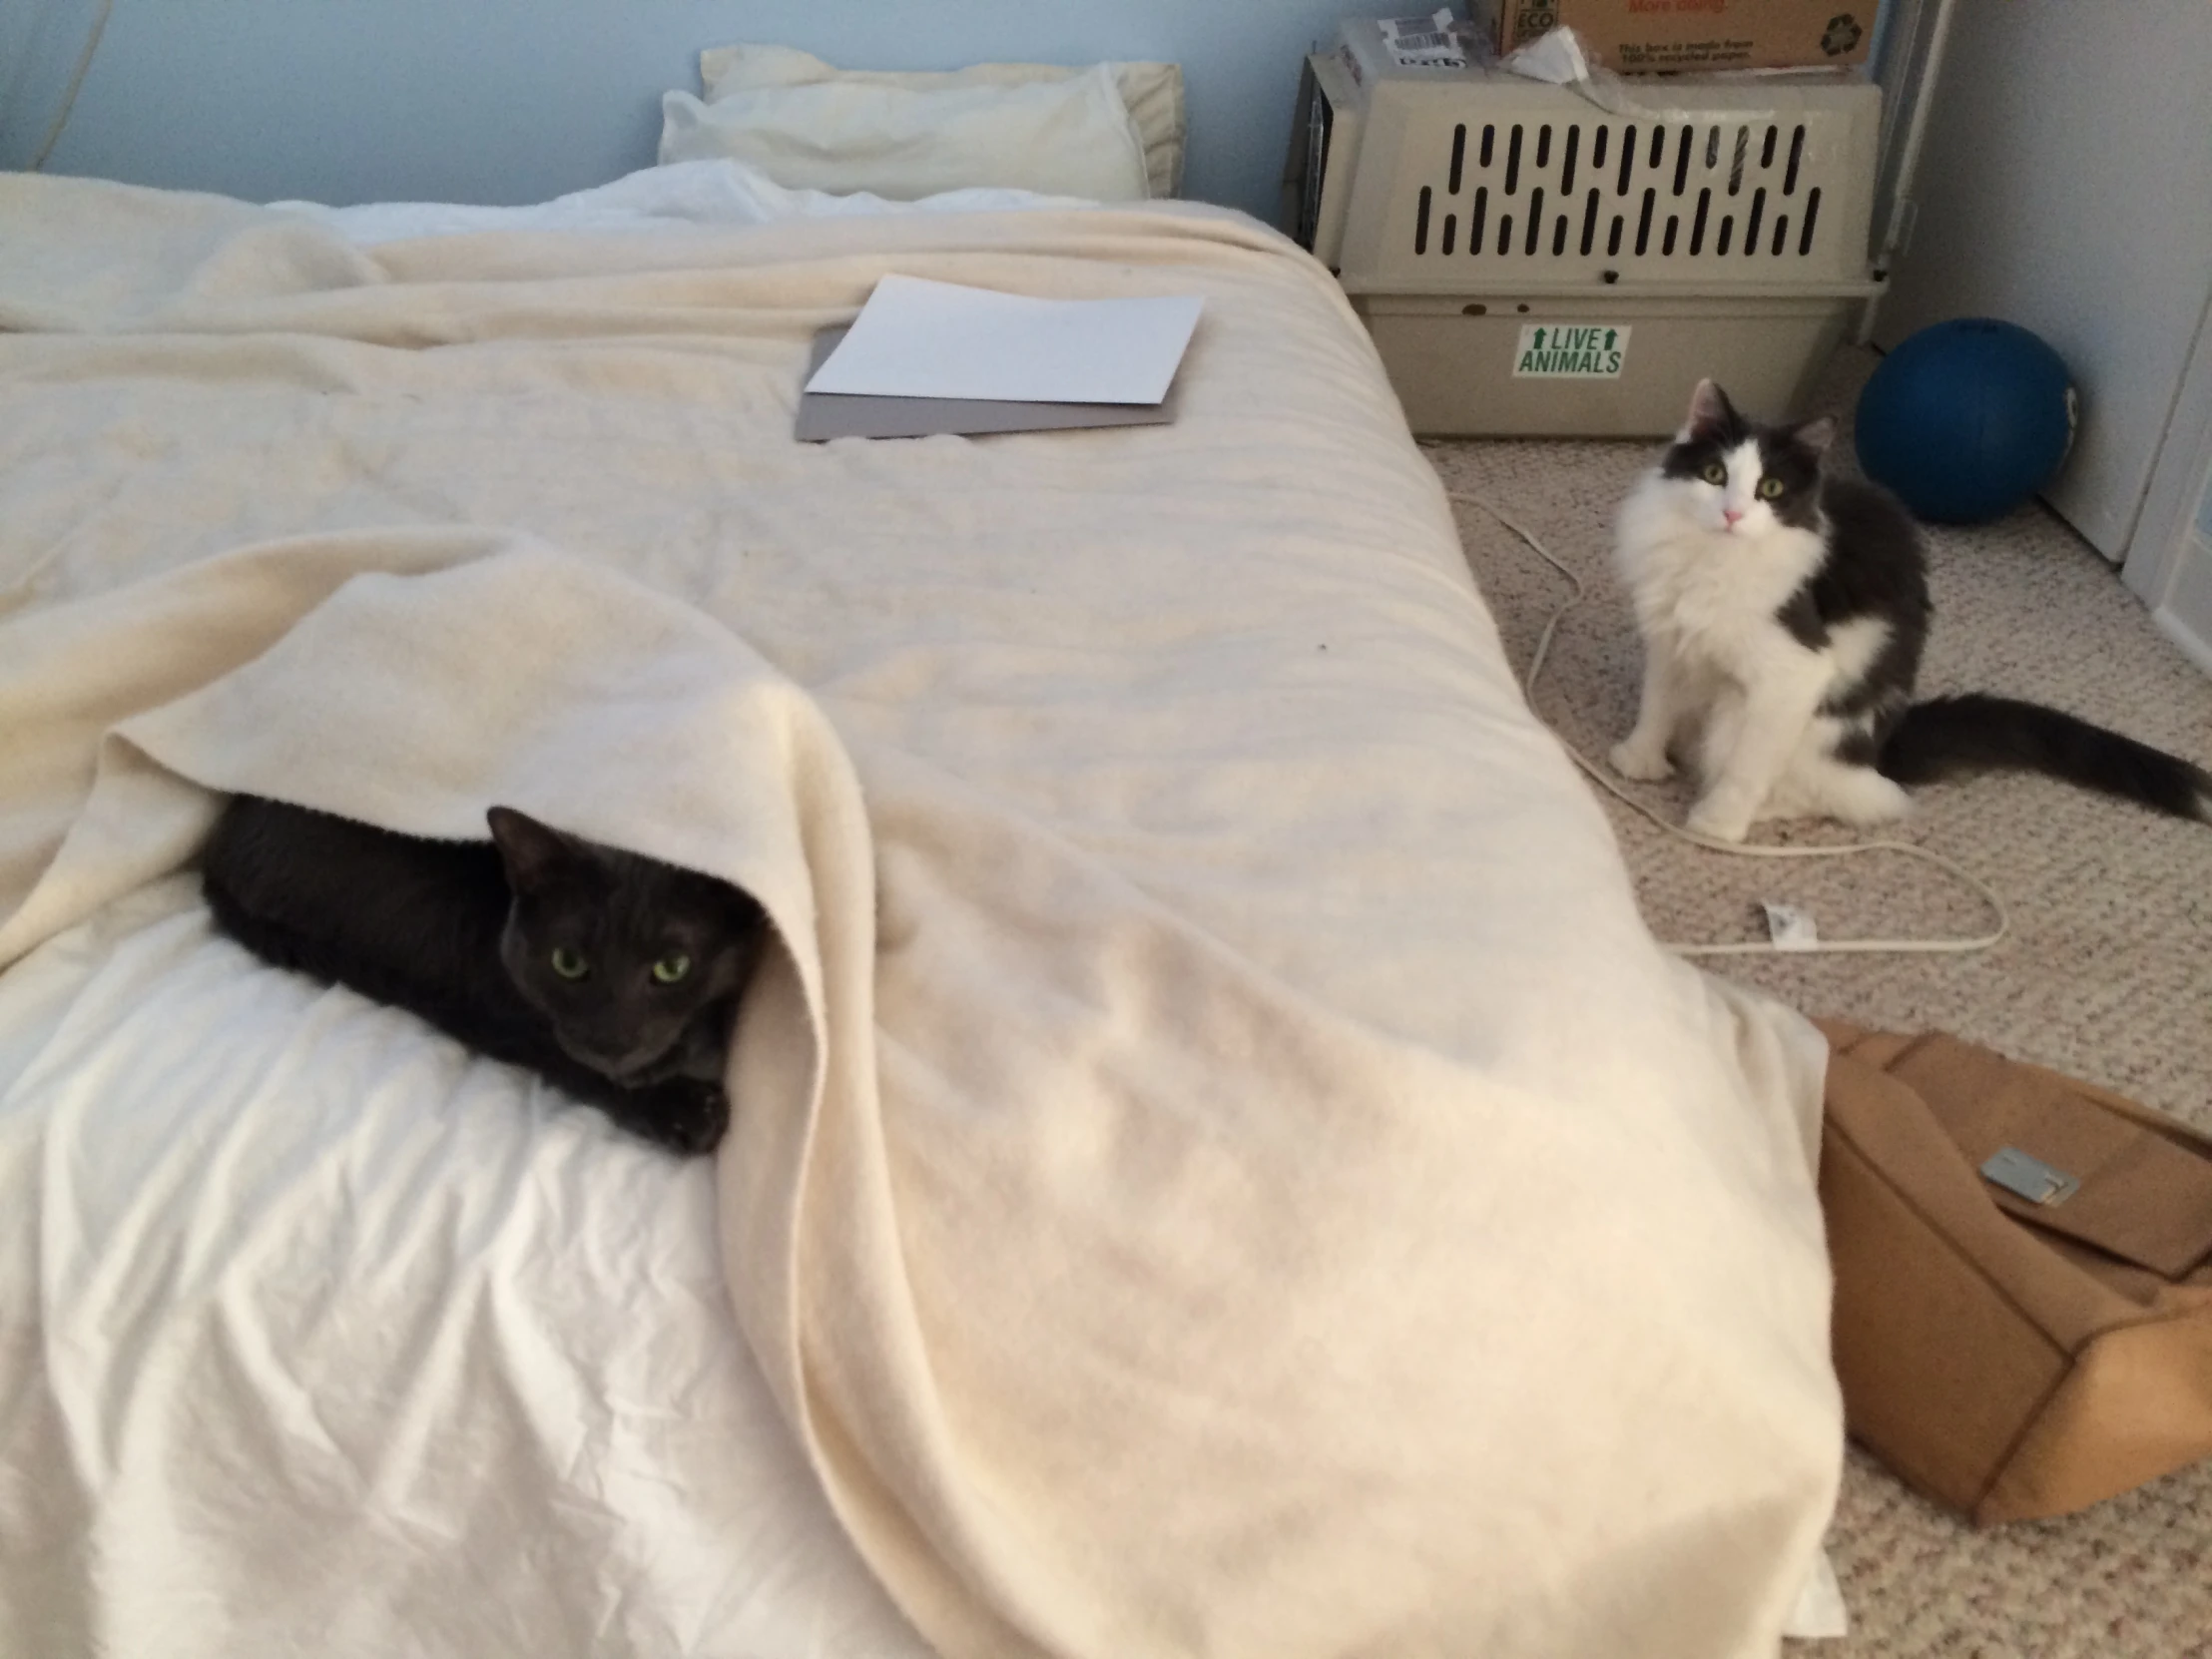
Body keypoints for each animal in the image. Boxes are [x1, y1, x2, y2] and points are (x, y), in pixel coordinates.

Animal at [203, 796, 770, 1159]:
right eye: (568, 962)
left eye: (673, 967)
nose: (609, 1041)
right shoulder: (508, 1005)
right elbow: (567, 1060)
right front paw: (682, 1109)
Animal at [1610, 380, 2212, 844]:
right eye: (1714, 474)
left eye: (1771, 488)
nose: (1733, 514)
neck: (1708, 561)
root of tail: (1880, 748)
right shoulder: (1672, 637)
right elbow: (1656, 706)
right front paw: (1638, 762)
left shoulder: (1791, 674)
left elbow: (1747, 766)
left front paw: (1718, 823)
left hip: (1765, 719)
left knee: (1863, 799)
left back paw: (1758, 809)